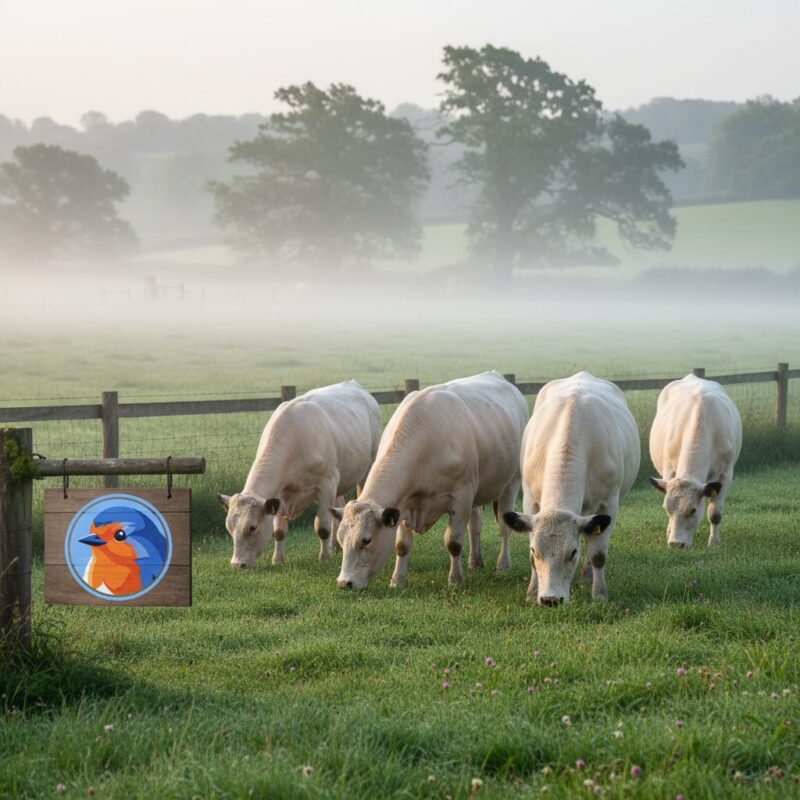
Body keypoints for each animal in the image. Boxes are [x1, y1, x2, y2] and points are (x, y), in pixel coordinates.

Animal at [218, 380, 381, 569]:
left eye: (252, 527)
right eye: (229, 528)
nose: (237, 564)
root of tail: (354, 383)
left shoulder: (326, 484)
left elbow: (322, 527)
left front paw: (324, 558)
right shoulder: (281, 495)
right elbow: (279, 531)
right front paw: (277, 560)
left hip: (367, 466)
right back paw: (336, 546)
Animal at [333, 371, 528, 590]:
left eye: (366, 540)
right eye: (340, 539)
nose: (344, 582)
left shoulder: (461, 497)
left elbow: (453, 542)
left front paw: (455, 580)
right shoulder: (405, 503)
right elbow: (402, 545)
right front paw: (397, 580)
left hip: (511, 483)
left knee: (504, 527)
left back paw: (503, 564)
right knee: (475, 525)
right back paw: (475, 562)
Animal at [504, 372, 640, 605]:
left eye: (572, 552)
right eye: (535, 552)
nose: (550, 599)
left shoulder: (608, 504)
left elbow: (598, 555)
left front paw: (600, 594)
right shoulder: (530, 501)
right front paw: (531, 592)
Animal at [649, 374, 742, 548]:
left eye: (692, 510)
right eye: (666, 509)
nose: (676, 544)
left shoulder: (726, 473)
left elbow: (715, 513)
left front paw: (714, 543)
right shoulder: (668, 469)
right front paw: (669, 533)